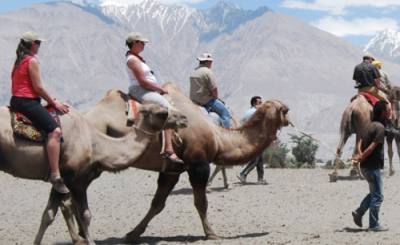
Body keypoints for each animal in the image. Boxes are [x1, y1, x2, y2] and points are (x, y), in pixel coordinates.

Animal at [0, 98, 188, 244]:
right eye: (162, 113)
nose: (184, 118)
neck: (95, 144)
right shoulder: (73, 179)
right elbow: (85, 215)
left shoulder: (61, 180)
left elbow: (48, 214)